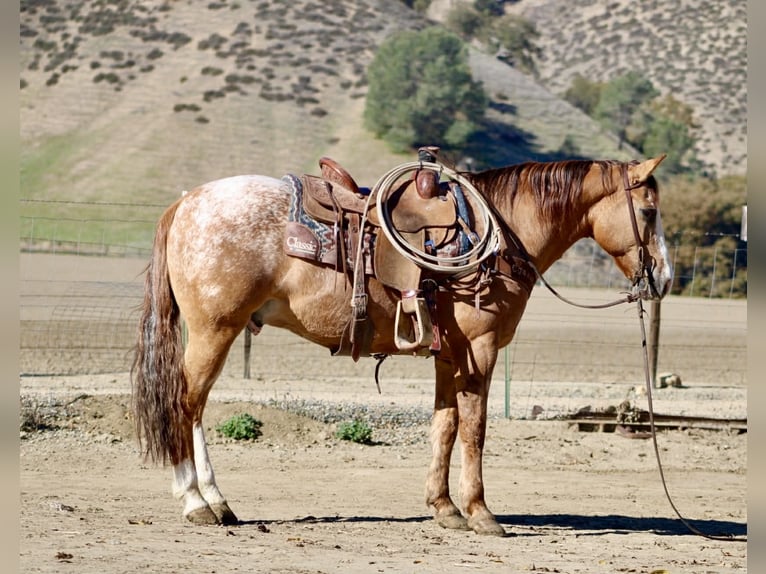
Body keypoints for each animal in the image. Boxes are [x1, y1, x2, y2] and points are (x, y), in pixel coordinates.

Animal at [131, 154, 672, 536]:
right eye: (648, 212)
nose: (663, 278)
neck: (500, 236)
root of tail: (185, 204)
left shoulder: (449, 354)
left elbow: (444, 427)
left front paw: (445, 509)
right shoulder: (481, 349)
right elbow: (474, 430)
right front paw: (481, 513)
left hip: (216, 332)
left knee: (195, 409)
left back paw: (217, 502)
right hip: (215, 330)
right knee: (185, 404)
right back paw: (196, 502)